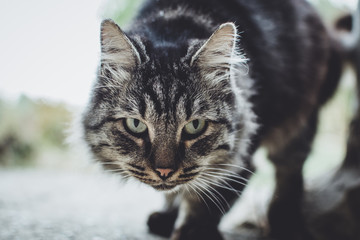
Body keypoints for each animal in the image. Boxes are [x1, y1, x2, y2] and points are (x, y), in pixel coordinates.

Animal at [82, 0, 360, 240]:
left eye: (195, 126)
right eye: (136, 125)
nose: (164, 172)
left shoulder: (239, 161)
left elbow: (203, 205)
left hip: (299, 119)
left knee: (289, 173)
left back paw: (285, 225)